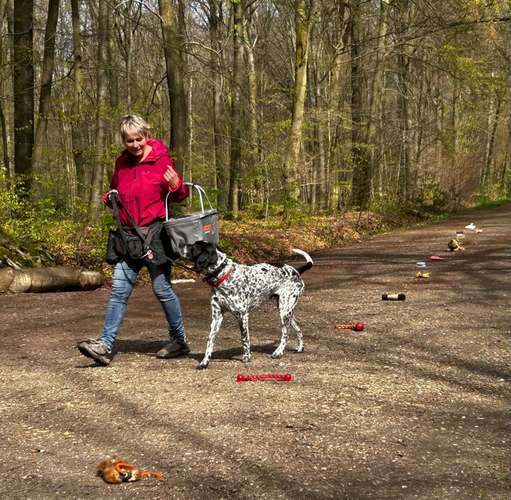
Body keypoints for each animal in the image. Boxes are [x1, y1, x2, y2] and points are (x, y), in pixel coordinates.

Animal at [190, 240, 314, 370]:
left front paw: (247, 357)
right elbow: (210, 341)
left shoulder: (242, 316)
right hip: (286, 311)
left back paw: (278, 352)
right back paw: (300, 348)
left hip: (284, 312)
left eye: (193, 247)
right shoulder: (216, 318)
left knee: (286, 334)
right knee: (297, 328)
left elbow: (244, 338)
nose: (185, 245)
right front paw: (204, 362)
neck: (224, 276)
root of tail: (296, 271)